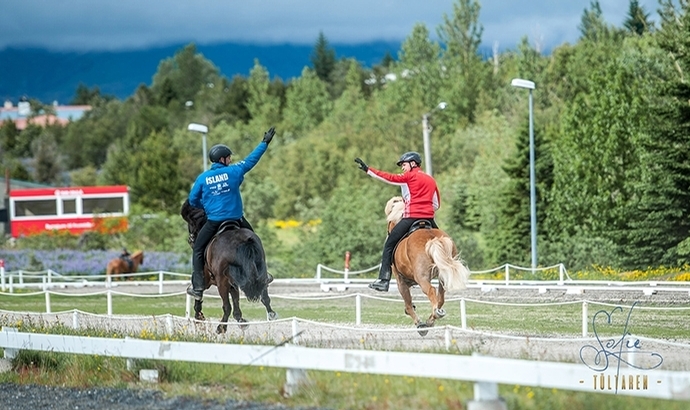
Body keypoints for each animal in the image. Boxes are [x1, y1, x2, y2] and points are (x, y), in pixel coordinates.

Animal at [180, 199, 276, 334]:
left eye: (191, 222)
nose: (191, 240)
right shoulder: (233, 283)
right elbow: (236, 300)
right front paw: (240, 319)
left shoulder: (209, 280)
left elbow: (199, 294)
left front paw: (199, 317)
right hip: (259, 269)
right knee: (264, 295)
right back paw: (270, 314)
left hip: (221, 283)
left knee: (226, 306)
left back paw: (221, 327)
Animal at [384, 197, 470, 334]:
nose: (388, 234)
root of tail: (432, 238)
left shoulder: (401, 281)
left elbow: (408, 304)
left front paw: (419, 324)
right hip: (442, 276)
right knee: (440, 298)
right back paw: (432, 318)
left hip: (422, 278)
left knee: (431, 291)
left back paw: (431, 319)